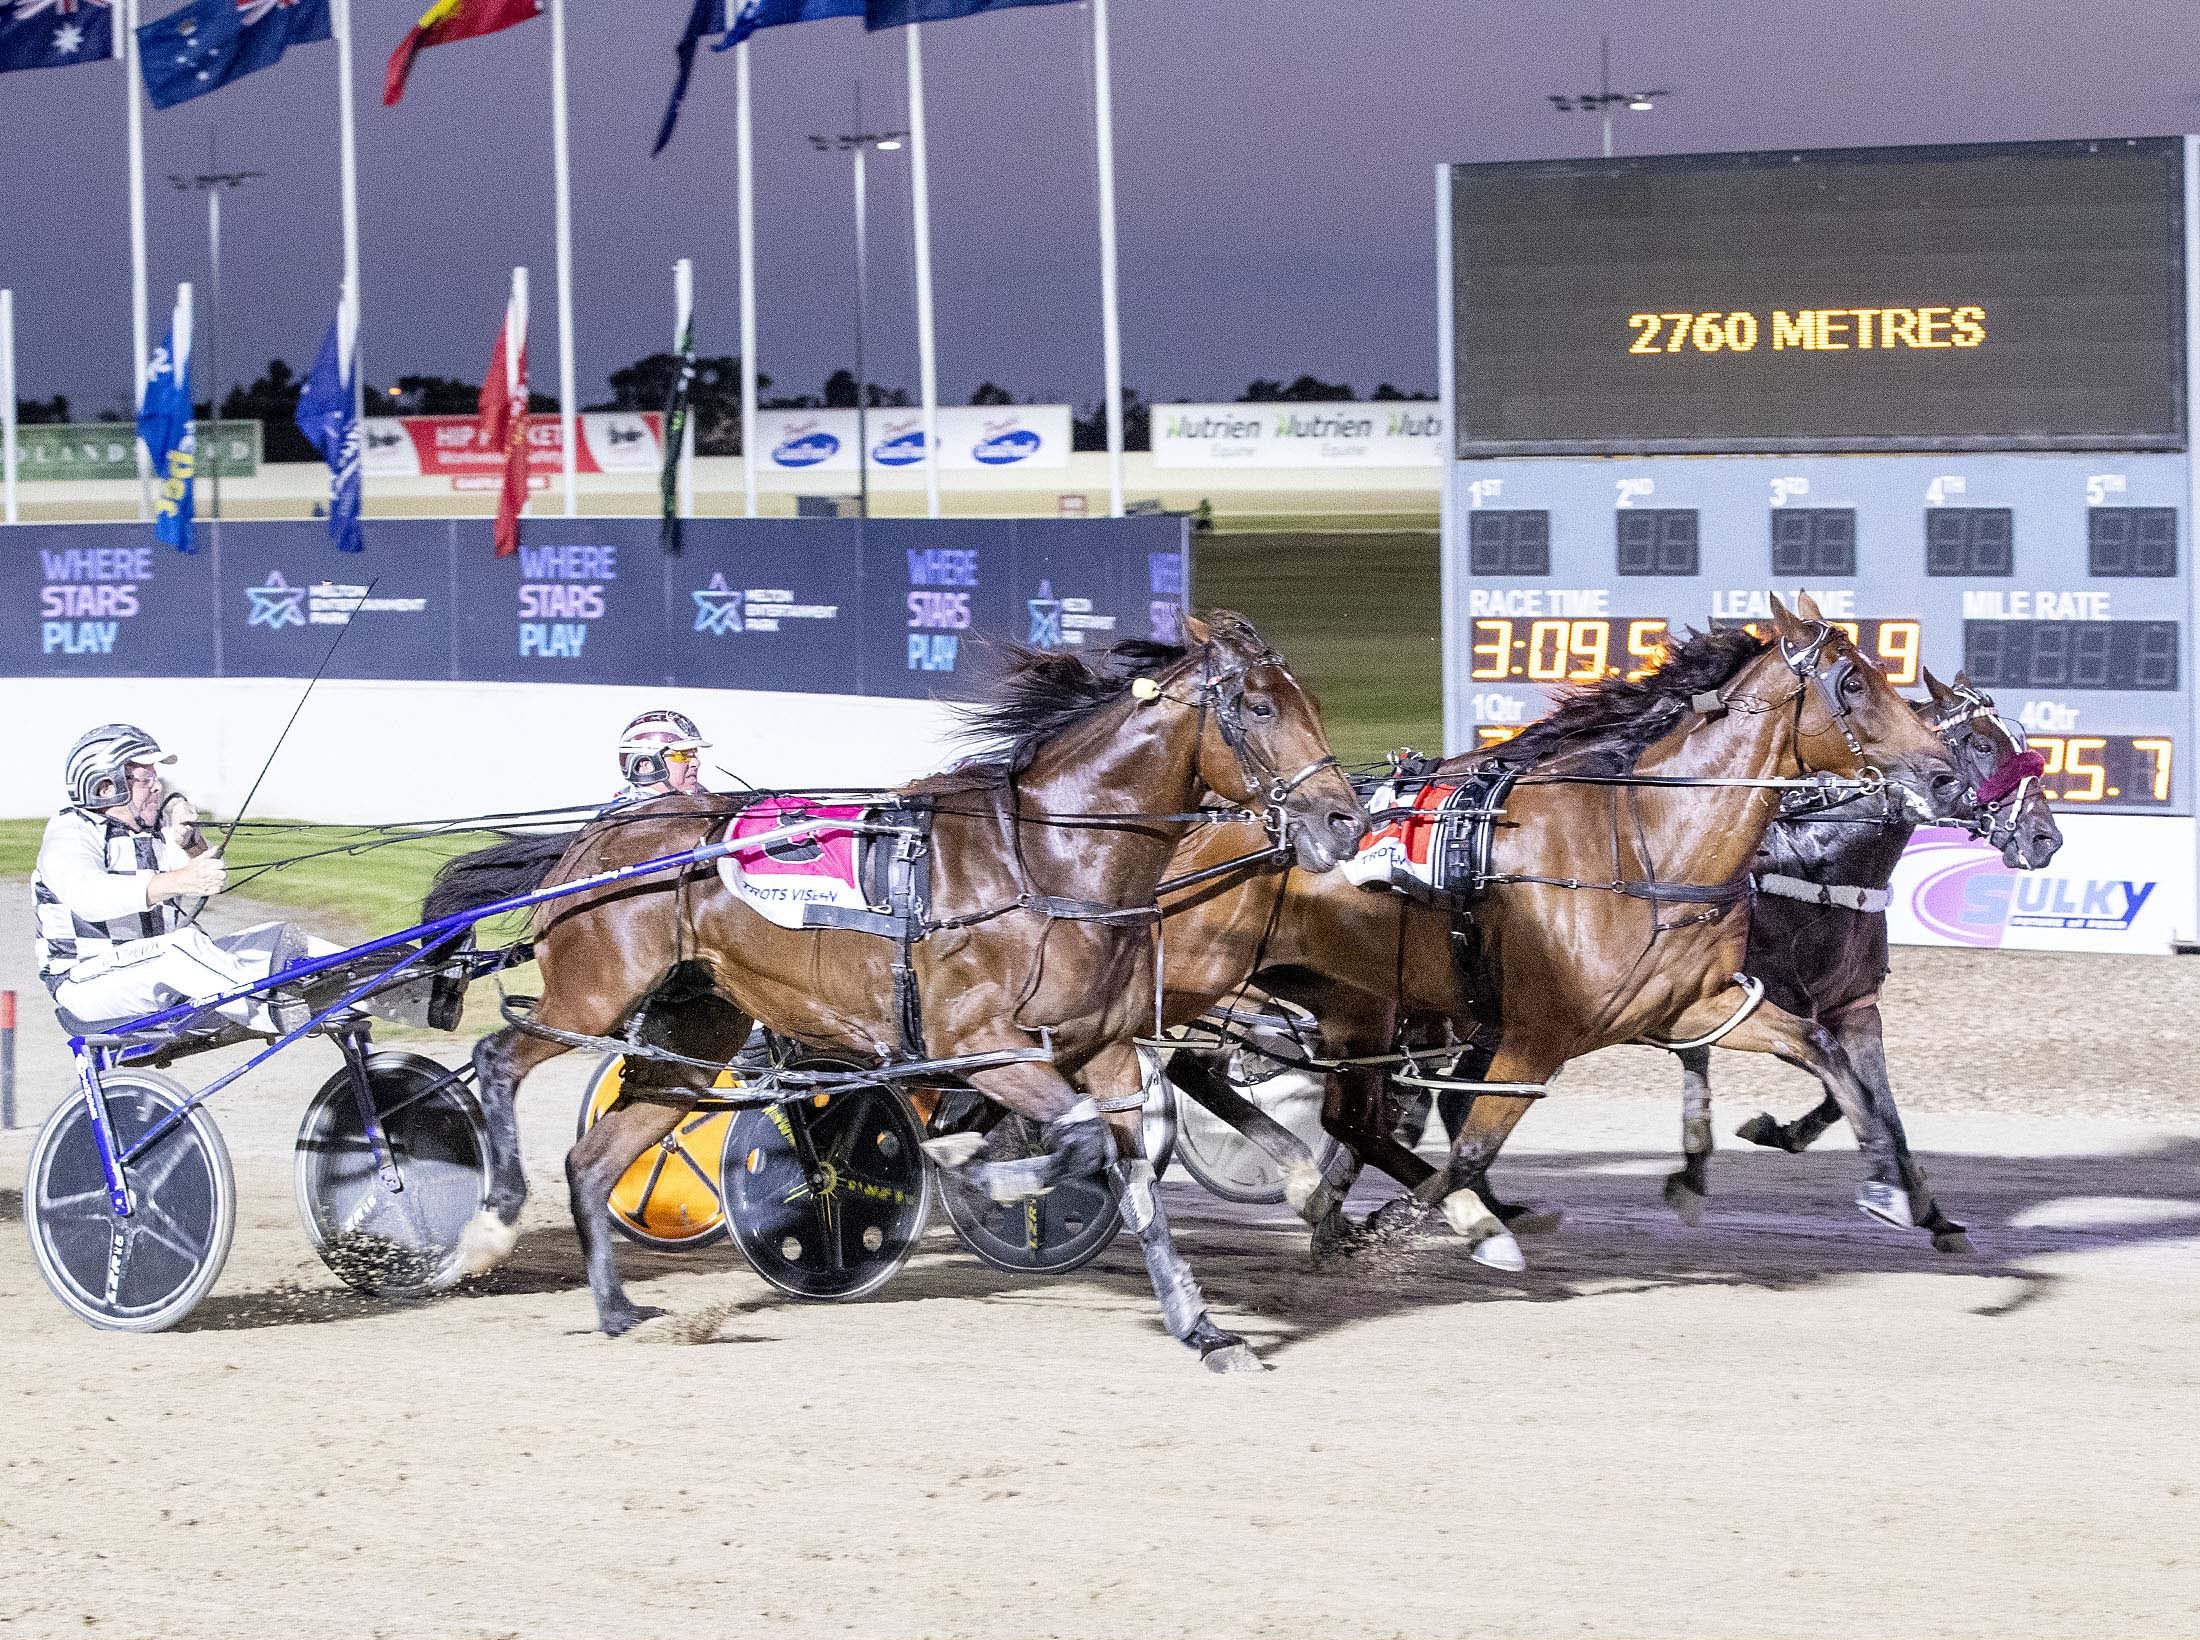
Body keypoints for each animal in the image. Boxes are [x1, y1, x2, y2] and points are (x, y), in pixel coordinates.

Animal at [431, 614, 1366, 1371]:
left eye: (1308, 699)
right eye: (1257, 708)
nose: (1344, 820)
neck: (1045, 863)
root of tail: (599, 836)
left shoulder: (1101, 1053)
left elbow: (1131, 1177)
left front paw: (1203, 1329)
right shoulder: (980, 1046)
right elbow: (1072, 1140)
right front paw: (980, 1168)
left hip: (692, 1035)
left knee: (595, 1157)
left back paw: (619, 1311)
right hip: (592, 996)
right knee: (497, 1058)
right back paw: (488, 1229)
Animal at [1150, 595, 1971, 1267]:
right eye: (1854, 683)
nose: (1946, 775)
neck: (1643, 844)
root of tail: (1205, 815)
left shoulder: (1697, 1006)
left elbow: (1829, 1056)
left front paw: (1888, 1189)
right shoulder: (1536, 1035)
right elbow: (1474, 1145)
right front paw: (1427, 1223)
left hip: (1353, 1000)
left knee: (1338, 1114)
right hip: (1205, 974)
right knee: (1191, 1066)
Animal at [1671, 669, 2060, 1218]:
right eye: (1982, 744)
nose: (2046, 838)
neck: (1820, 868)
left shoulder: (1852, 1006)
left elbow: (1869, 1097)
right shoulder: (1765, 1002)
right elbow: (1845, 1082)